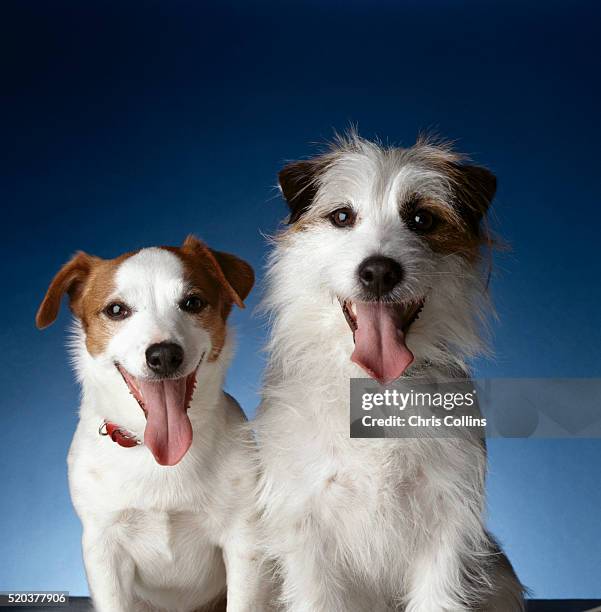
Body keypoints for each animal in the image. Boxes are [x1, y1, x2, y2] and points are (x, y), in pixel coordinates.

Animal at [38, 235, 270, 612]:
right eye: (116, 310)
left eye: (192, 302)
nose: (164, 355)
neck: (156, 456)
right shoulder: (103, 548)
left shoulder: (244, 542)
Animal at [255, 134, 524, 612]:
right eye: (342, 216)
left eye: (421, 219)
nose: (379, 271)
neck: (376, 389)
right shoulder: (306, 529)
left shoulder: (446, 525)